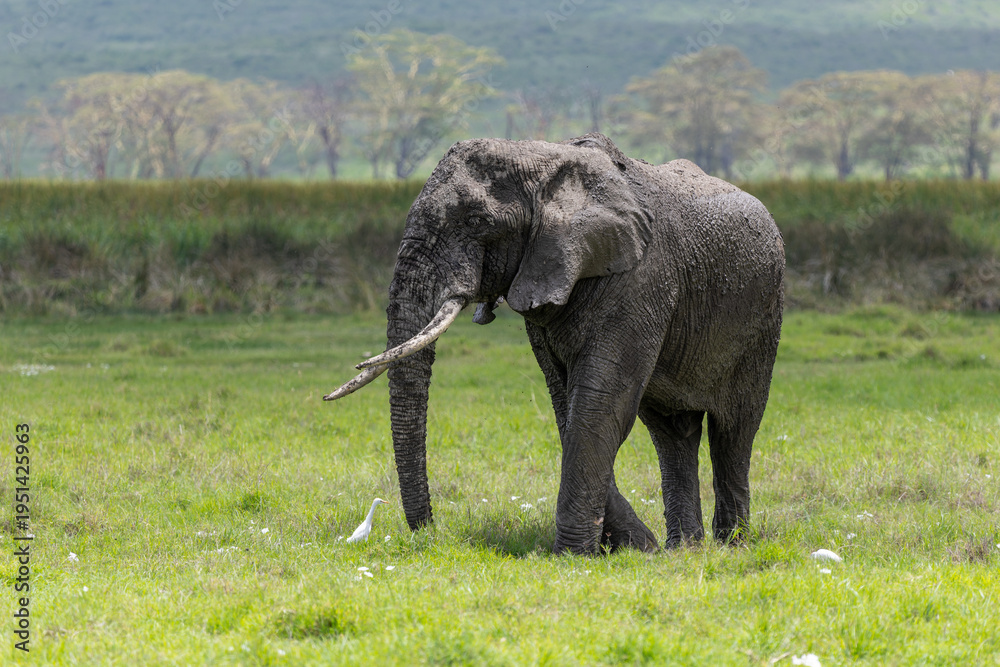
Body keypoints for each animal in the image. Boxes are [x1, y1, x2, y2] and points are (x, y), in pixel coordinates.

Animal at [325, 133, 784, 555]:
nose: (429, 531)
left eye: (477, 221)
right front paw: (635, 546)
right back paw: (684, 550)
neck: (542, 158)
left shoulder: (642, 281)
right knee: (672, 432)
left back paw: (732, 545)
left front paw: (575, 556)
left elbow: (599, 407)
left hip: (764, 317)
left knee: (735, 429)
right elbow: (568, 406)